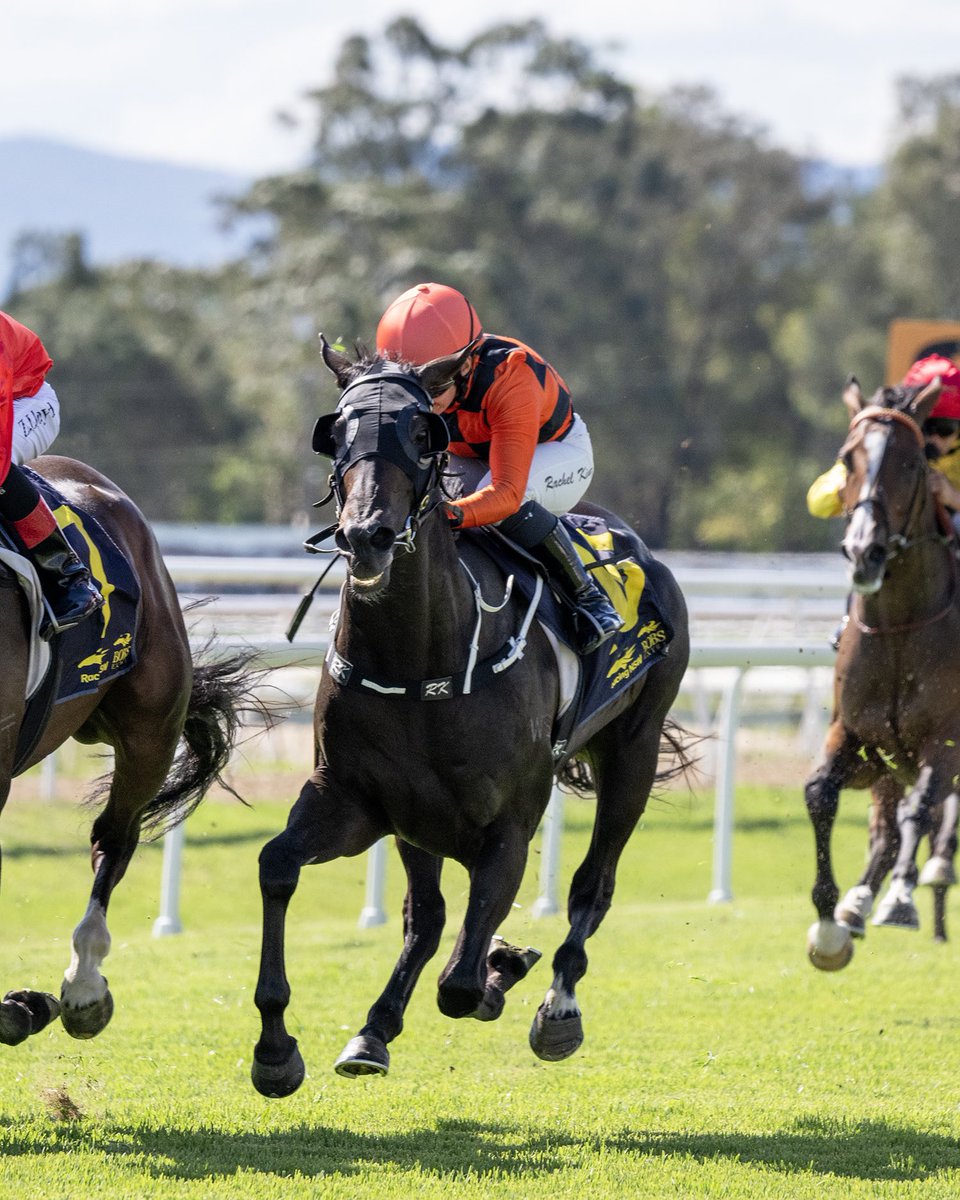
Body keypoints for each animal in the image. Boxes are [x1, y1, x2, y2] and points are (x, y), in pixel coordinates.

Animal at [250, 340, 696, 1099]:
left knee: (592, 887)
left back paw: (557, 1007)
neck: (418, 654)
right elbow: (280, 867)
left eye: (421, 434)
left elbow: (459, 985)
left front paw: (501, 966)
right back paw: (376, 1028)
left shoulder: (509, 829)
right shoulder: (360, 801)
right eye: (335, 434)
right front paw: (278, 1048)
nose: (366, 534)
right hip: (420, 819)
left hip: (632, 753)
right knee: (427, 919)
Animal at [801, 379, 960, 969]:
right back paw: (861, 901)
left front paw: (901, 898)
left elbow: (922, 808)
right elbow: (820, 795)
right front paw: (833, 922)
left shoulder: (946, 740)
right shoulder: (859, 738)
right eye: (849, 458)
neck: (899, 626)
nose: (865, 551)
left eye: (912, 463)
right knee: (885, 828)